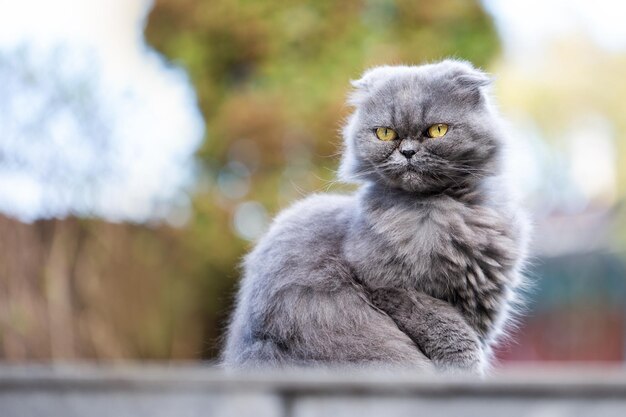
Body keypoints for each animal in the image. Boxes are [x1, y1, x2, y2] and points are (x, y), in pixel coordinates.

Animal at [222, 59, 528, 370]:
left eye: (437, 130)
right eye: (385, 134)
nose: (408, 152)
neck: (444, 212)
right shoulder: (386, 284)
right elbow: (449, 330)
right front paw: (462, 365)